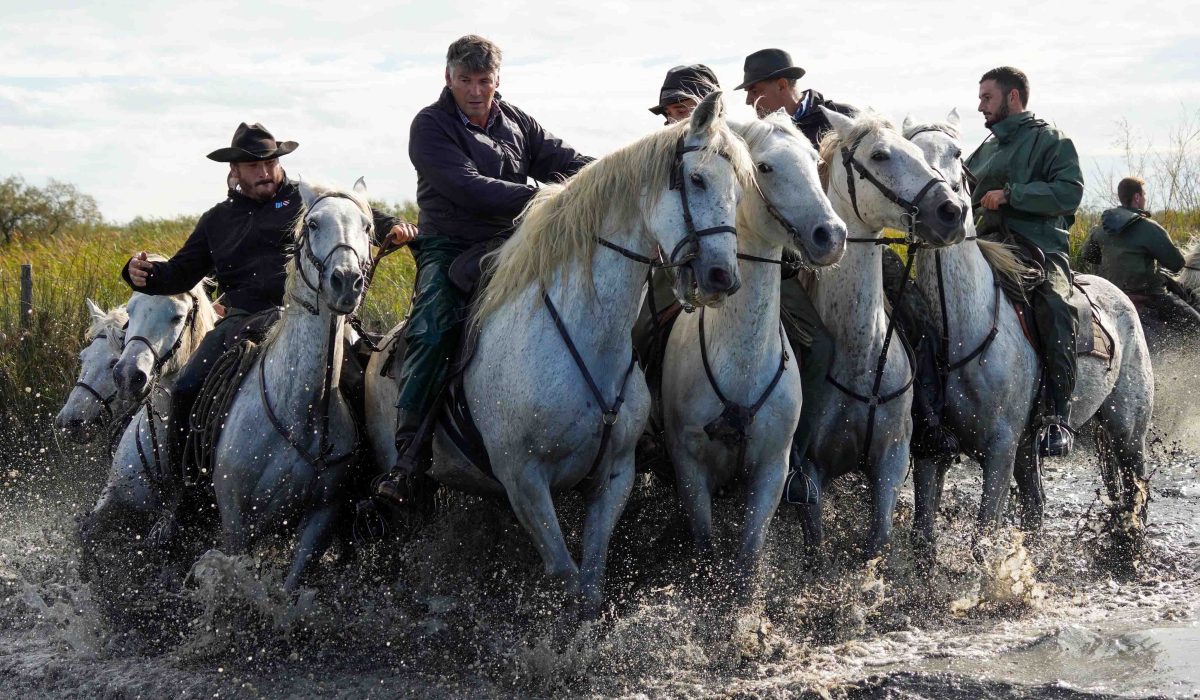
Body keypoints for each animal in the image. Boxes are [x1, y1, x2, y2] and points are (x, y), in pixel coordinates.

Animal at [210, 179, 373, 592]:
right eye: (313, 224)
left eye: (366, 226)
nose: (346, 282)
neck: (303, 412)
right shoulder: (235, 520)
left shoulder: (320, 518)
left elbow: (287, 590)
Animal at [365, 91, 754, 617]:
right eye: (696, 178)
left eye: (739, 189)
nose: (721, 277)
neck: (584, 337)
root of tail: (377, 348)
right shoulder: (525, 481)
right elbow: (565, 576)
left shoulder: (614, 476)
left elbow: (590, 581)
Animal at [660, 113, 846, 595]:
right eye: (765, 167)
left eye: (814, 161)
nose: (832, 236)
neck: (740, 366)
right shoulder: (690, 469)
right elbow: (705, 548)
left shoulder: (771, 471)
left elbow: (747, 562)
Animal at [799, 108, 967, 558]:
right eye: (879, 155)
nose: (951, 211)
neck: (859, 352)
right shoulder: (809, 473)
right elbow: (815, 553)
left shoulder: (890, 462)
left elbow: (878, 542)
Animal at [903, 111, 1155, 547]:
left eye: (955, 153)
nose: (942, 212)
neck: (962, 333)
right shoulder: (932, 452)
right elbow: (922, 538)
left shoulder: (1000, 452)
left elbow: (983, 540)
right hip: (1032, 449)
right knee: (1038, 508)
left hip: (1127, 430)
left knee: (1134, 490)